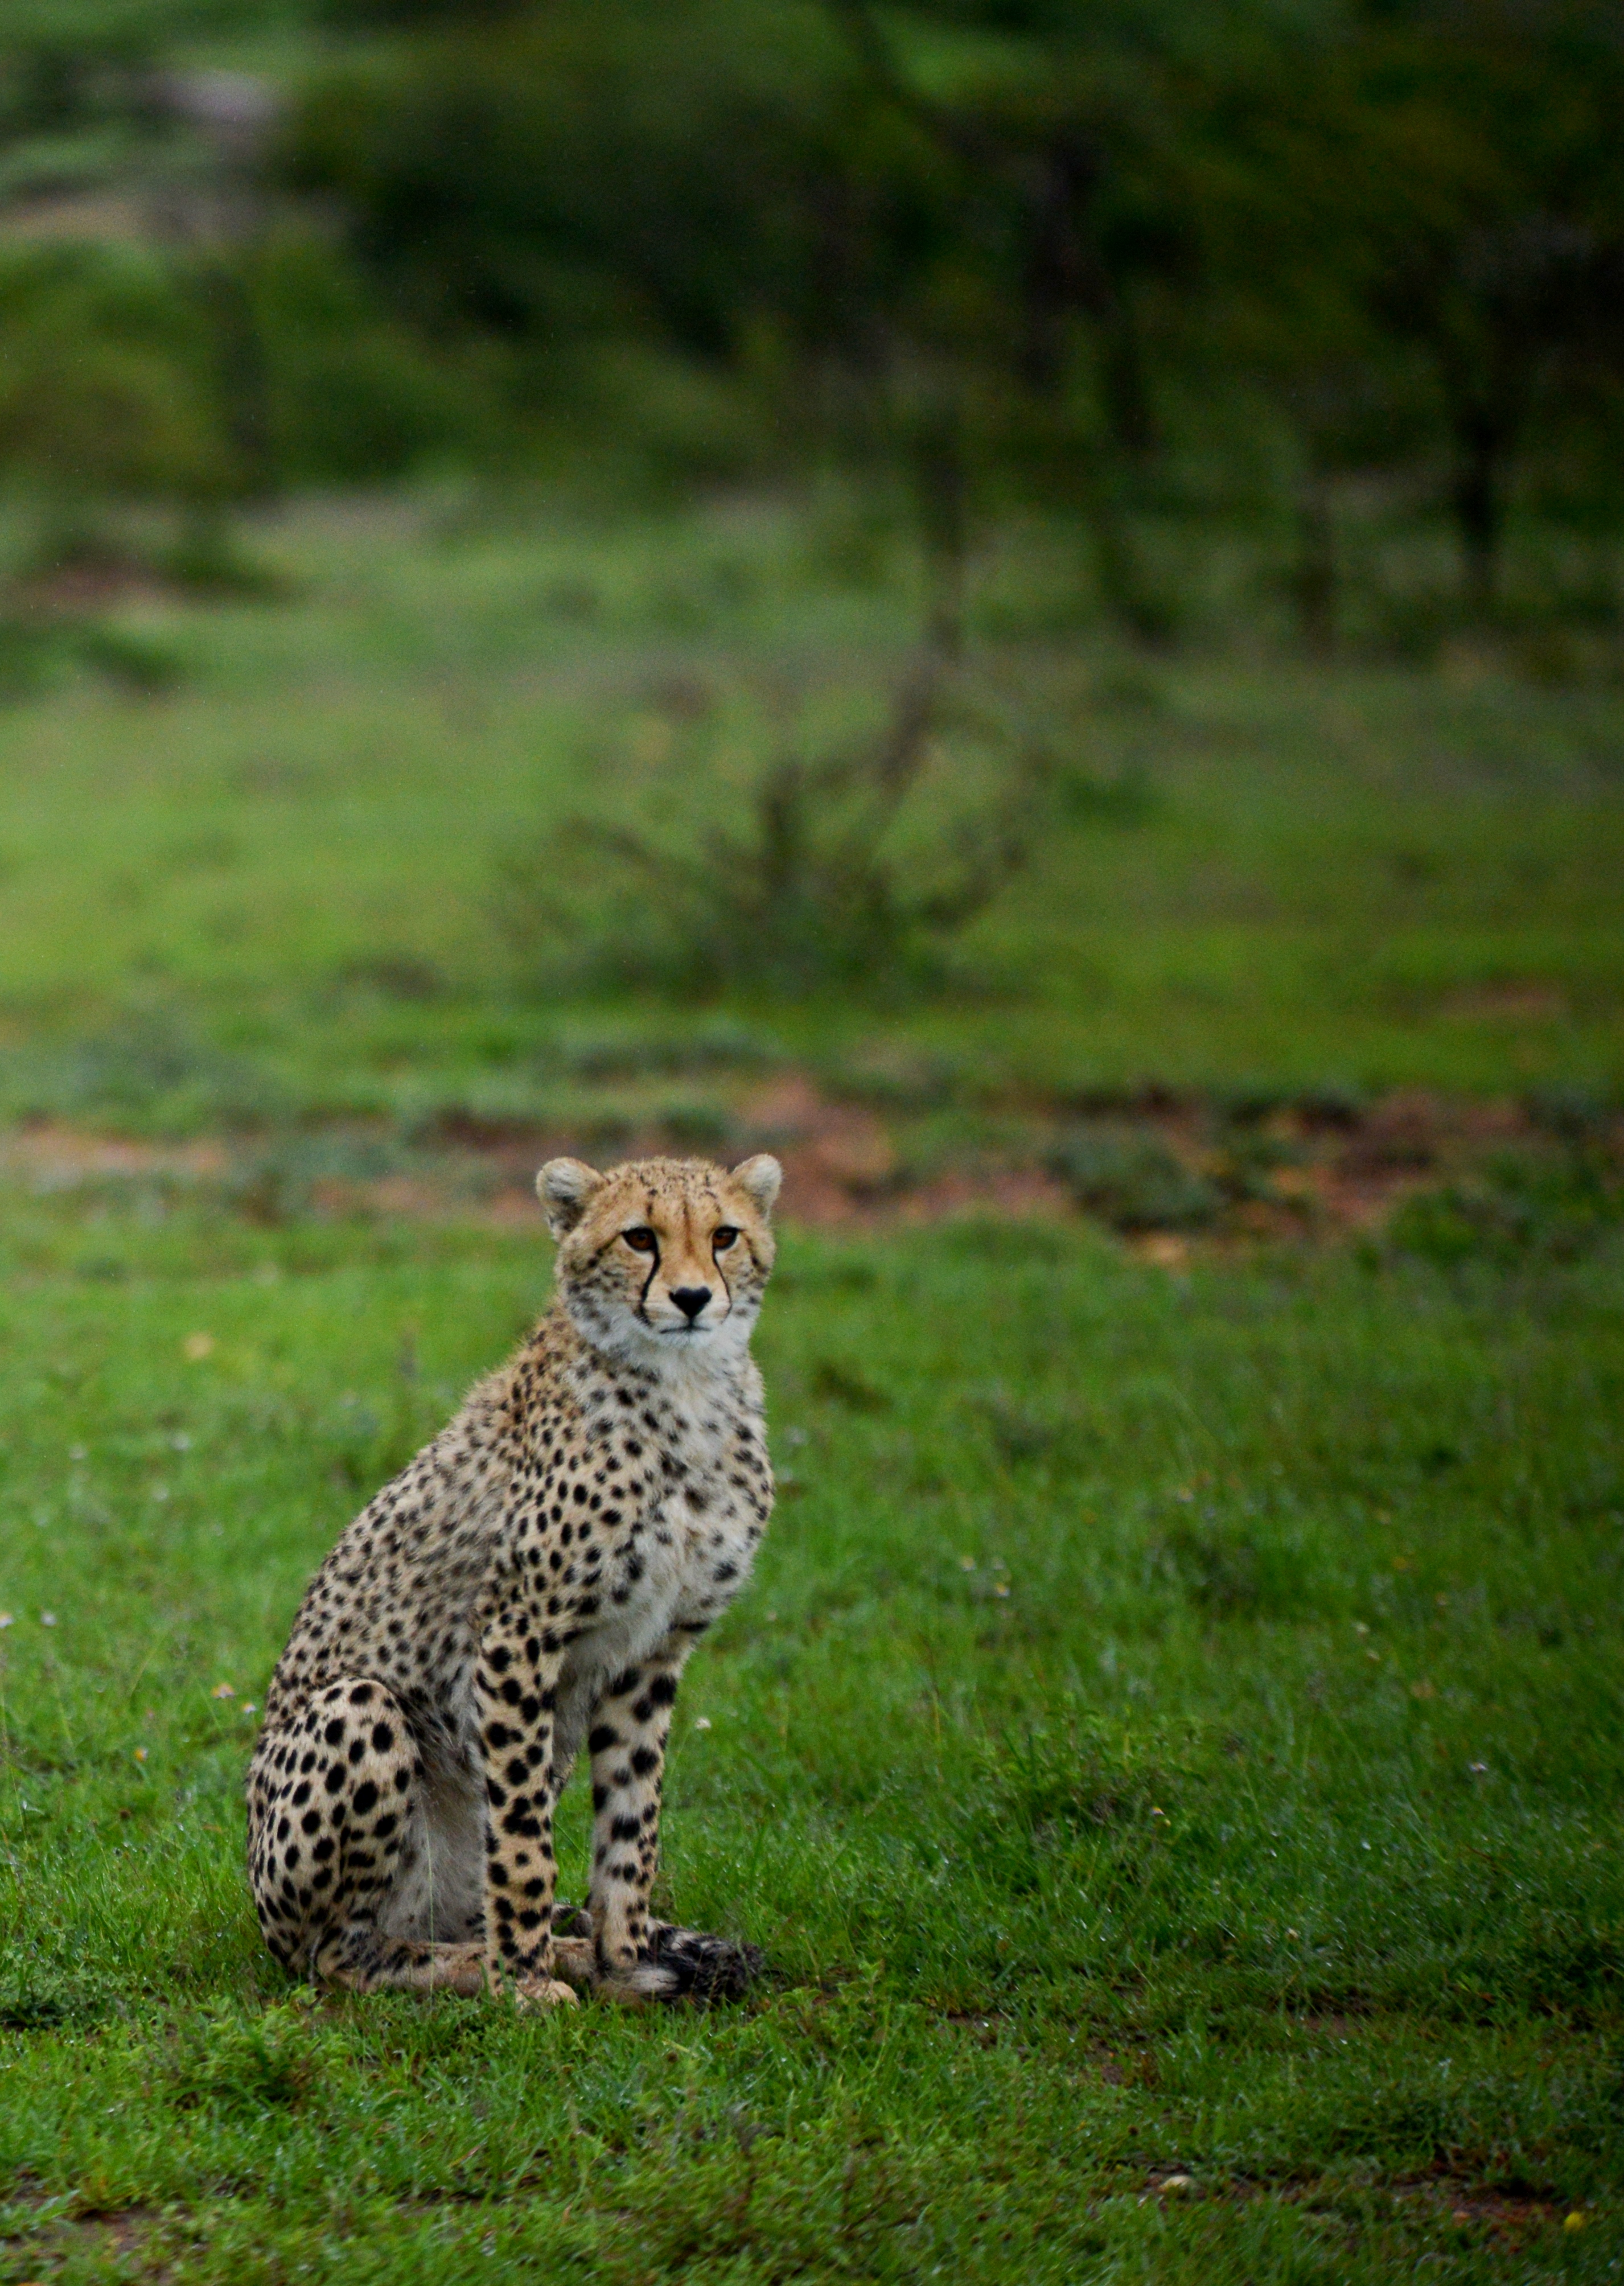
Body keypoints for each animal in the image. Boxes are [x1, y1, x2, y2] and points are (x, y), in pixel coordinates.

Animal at [245, 1151, 781, 2009]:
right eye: (639, 1237)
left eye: (725, 1235)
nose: (694, 1298)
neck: (686, 1385)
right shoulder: (516, 1634)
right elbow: (525, 1838)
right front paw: (527, 1985)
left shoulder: (654, 1650)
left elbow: (632, 1823)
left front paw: (623, 1961)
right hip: (356, 1713)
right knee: (340, 1955)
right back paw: (481, 1967)